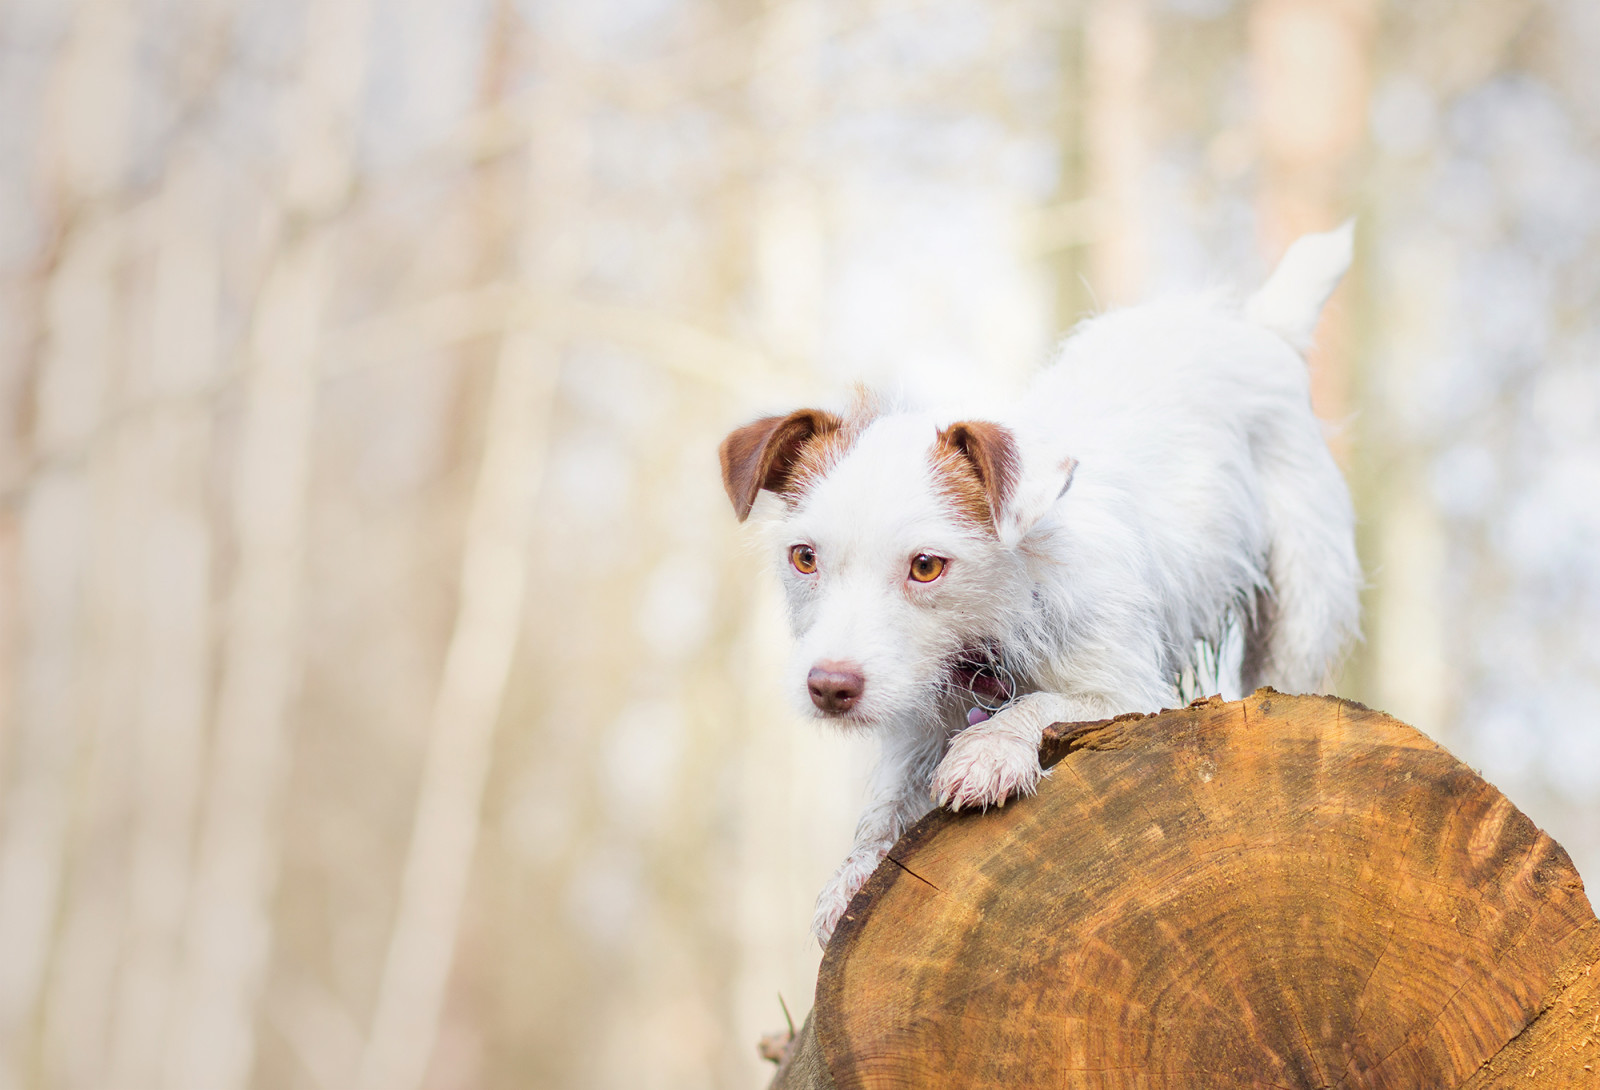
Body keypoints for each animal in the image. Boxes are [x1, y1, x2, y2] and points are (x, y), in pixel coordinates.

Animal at [726, 225, 1363, 947]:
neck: (999, 616)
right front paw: (856, 873)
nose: (830, 687)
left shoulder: (1129, 693)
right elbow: (887, 801)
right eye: (804, 558)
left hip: (1301, 609)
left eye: (926, 566)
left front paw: (989, 750)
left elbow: (1046, 703)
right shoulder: (915, 721)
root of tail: (1256, 325)